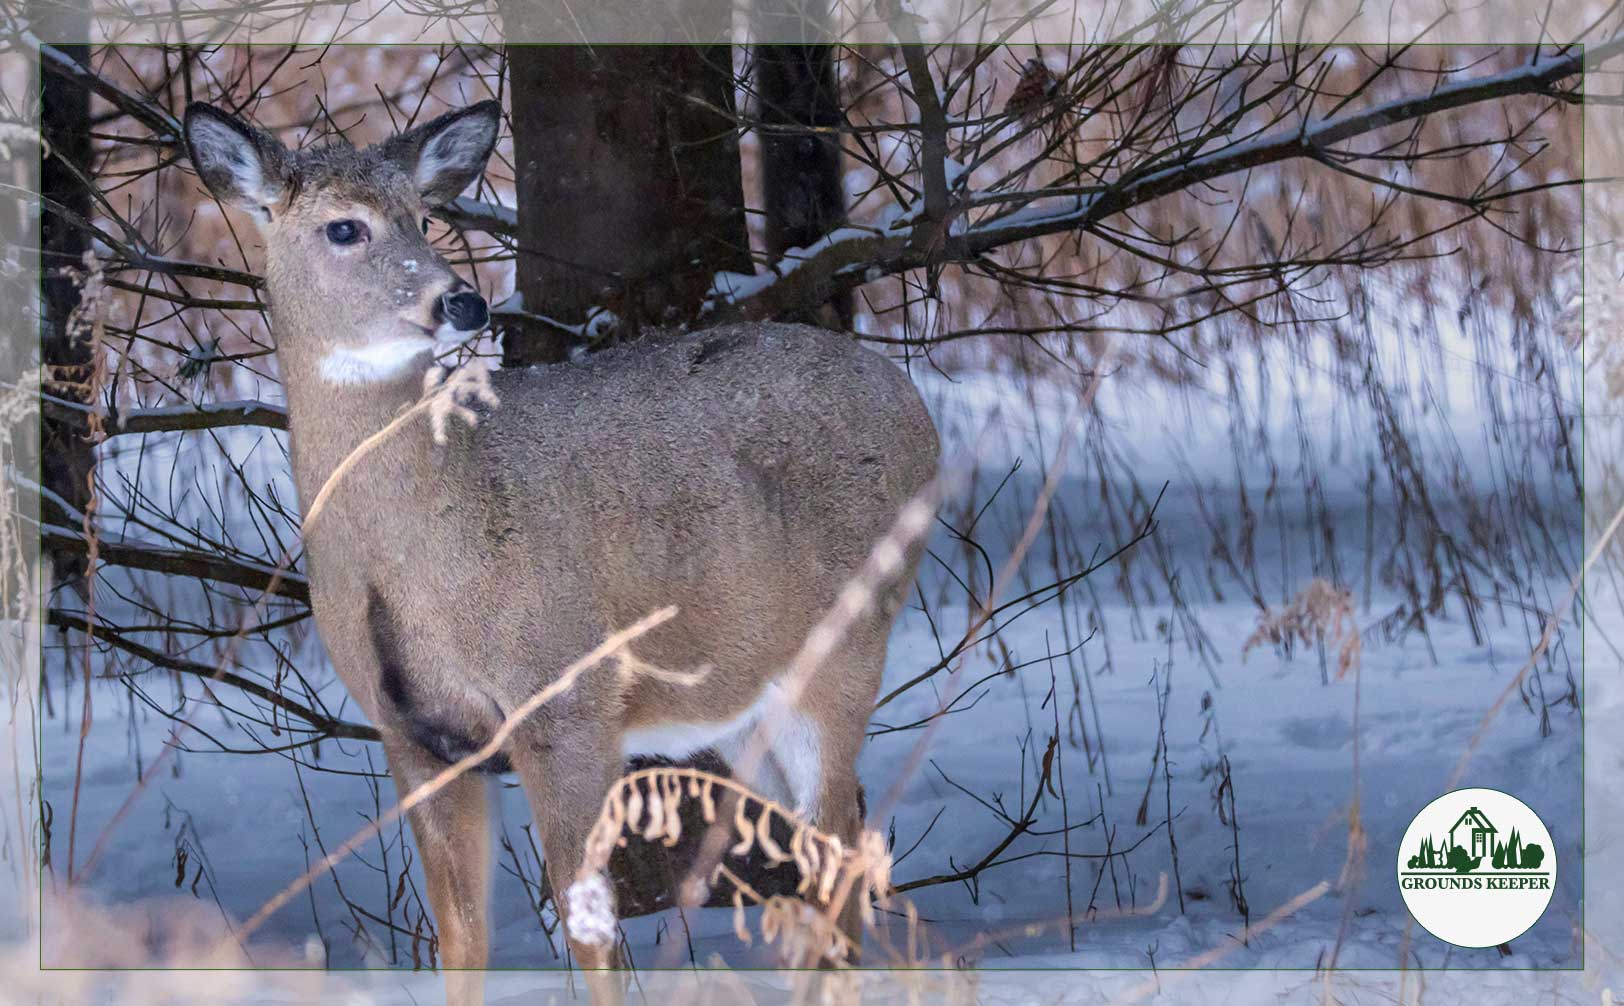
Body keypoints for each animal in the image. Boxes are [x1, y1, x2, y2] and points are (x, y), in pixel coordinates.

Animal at [182, 99, 939, 1004]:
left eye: (424, 215)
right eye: (343, 227)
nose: (462, 302)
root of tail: (917, 410)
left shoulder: (568, 699)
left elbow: (590, 934)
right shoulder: (412, 737)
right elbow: (461, 938)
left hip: (848, 643)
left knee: (840, 850)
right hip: (746, 702)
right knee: (828, 845)